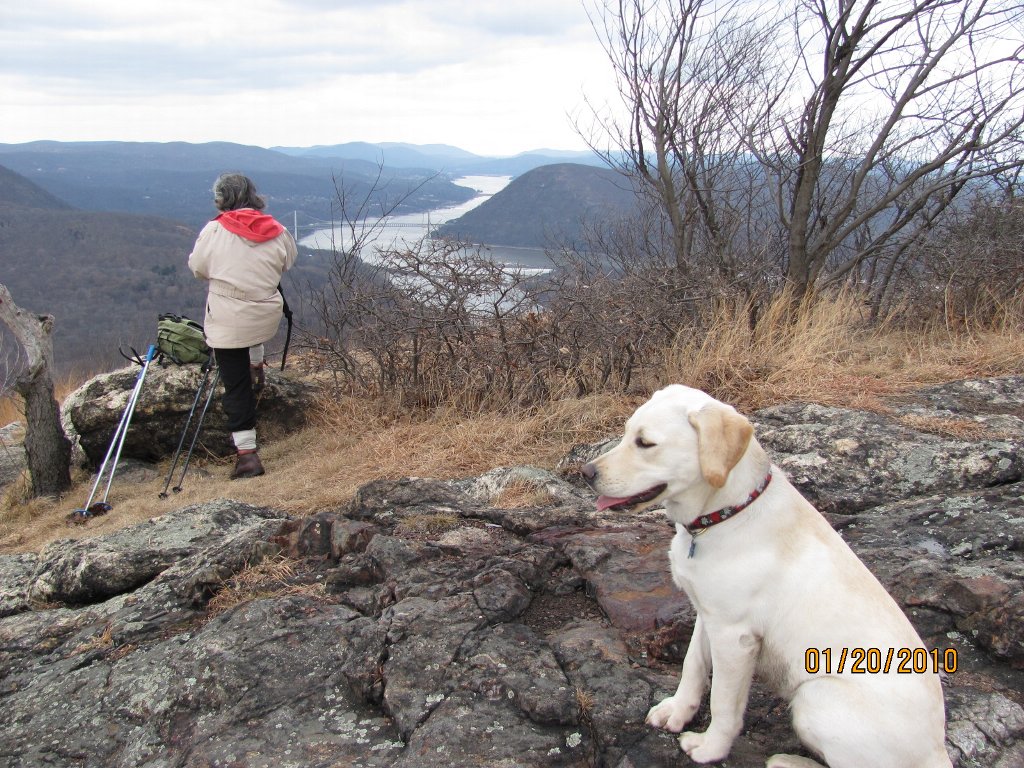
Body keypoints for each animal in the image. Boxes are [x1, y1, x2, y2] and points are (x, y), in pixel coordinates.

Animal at [581, 385, 946, 768]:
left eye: (645, 443)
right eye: (626, 433)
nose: (585, 472)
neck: (726, 513)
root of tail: (937, 752)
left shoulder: (735, 636)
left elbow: (723, 702)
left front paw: (711, 747)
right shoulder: (707, 615)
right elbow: (692, 665)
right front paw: (678, 712)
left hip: (815, 699)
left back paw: (787, 761)